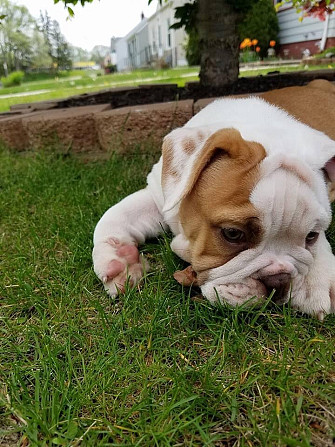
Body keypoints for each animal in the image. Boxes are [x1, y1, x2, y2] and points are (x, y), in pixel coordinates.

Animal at [93, 79, 335, 318]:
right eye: (232, 233)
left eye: (311, 236)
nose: (278, 280)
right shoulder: (159, 196)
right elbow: (116, 214)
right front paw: (118, 259)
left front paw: (318, 280)